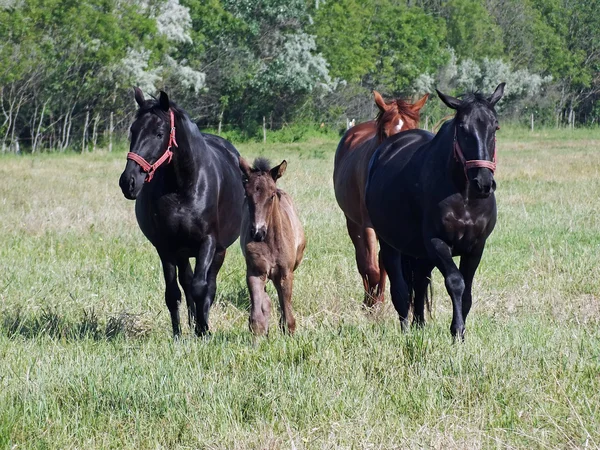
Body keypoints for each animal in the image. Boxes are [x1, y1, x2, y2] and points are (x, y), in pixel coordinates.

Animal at [119, 88, 244, 336]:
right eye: (133, 131)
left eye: (159, 133)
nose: (128, 182)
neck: (183, 187)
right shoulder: (166, 247)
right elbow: (173, 293)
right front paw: (178, 334)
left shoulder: (208, 242)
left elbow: (201, 288)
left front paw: (204, 330)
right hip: (183, 252)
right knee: (186, 283)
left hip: (219, 251)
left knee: (208, 285)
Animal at [239, 157, 308, 334]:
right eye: (247, 194)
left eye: (271, 195)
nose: (257, 232)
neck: (270, 243)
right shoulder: (255, 272)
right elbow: (257, 318)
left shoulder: (285, 274)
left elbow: (287, 316)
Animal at [332, 91, 426, 306]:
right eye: (384, 132)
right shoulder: (368, 226)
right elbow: (371, 268)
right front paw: (370, 302)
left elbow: (384, 265)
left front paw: (380, 301)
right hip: (352, 222)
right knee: (362, 260)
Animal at [366, 82, 506, 340]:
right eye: (462, 127)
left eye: (495, 125)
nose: (483, 182)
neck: (465, 196)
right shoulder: (437, 243)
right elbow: (456, 282)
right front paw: (457, 331)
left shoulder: (476, 247)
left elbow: (467, 292)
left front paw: (460, 331)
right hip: (391, 245)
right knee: (401, 290)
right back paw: (406, 330)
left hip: (420, 252)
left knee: (420, 282)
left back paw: (419, 325)